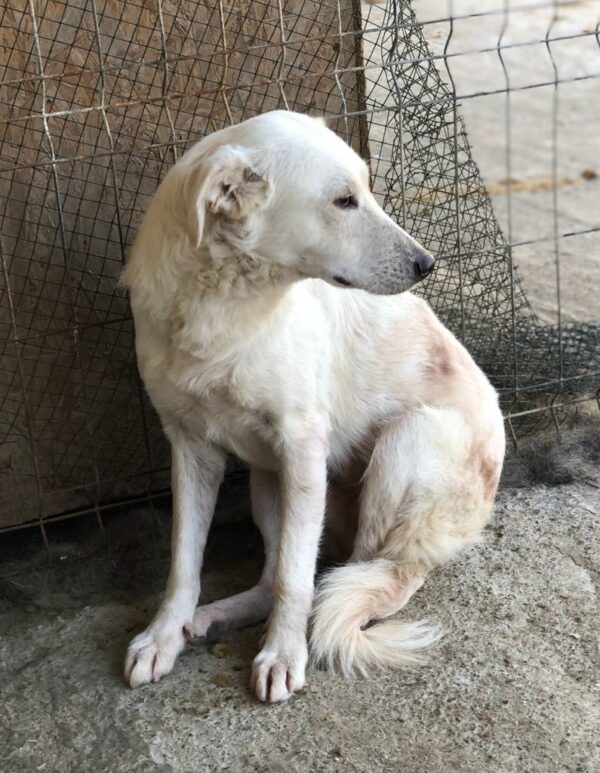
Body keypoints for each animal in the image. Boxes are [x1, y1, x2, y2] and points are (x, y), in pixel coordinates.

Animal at [122, 111, 506, 704]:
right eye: (344, 201)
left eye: (365, 191)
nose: (427, 263)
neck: (225, 309)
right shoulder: (191, 447)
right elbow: (185, 562)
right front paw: (163, 635)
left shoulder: (303, 448)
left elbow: (295, 578)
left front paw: (283, 653)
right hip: (266, 482)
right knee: (281, 573)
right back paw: (217, 615)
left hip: (406, 444)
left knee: (366, 574)